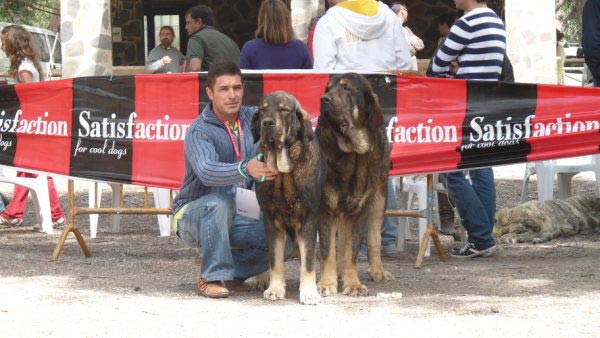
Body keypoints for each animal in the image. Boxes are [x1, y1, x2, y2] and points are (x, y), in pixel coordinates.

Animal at [251, 91, 326, 304]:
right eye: (262, 110)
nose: (267, 123)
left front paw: (309, 292)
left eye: (284, 110)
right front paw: (275, 288)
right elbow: (274, 259)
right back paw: (261, 277)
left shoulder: (309, 219)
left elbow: (308, 262)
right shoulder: (271, 220)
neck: (284, 173)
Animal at [316, 72, 392, 296]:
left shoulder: (359, 210)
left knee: (374, 238)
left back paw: (377, 270)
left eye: (346, 88)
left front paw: (353, 284)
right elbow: (328, 251)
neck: (352, 153)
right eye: (327, 89)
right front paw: (327, 283)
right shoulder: (326, 208)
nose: (324, 99)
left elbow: (352, 250)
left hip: (379, 199)